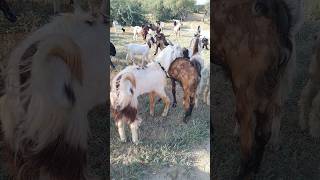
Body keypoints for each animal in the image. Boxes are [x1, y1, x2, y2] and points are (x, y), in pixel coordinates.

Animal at [212, 0, 302, 179]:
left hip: (248, 86)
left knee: (248, 136)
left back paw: (243, 171)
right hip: (270, 83)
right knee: (263, 132)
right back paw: (255, 168)